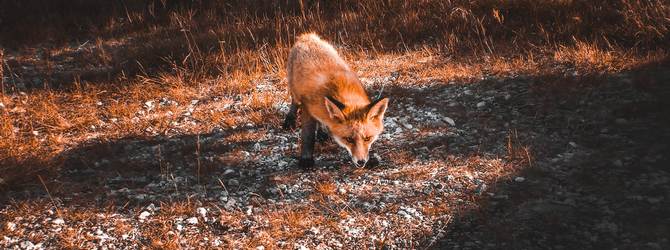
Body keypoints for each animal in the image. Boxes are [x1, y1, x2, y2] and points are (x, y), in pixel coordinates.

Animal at [282, 33, 388, 169]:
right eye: (349, 139)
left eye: (368, 138)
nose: (361, 162)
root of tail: (308, 36)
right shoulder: (307, 107)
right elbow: (308, 136)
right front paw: (306, 159)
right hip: (294, 89)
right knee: (294, 102)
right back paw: (290, 120)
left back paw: (322, 133)